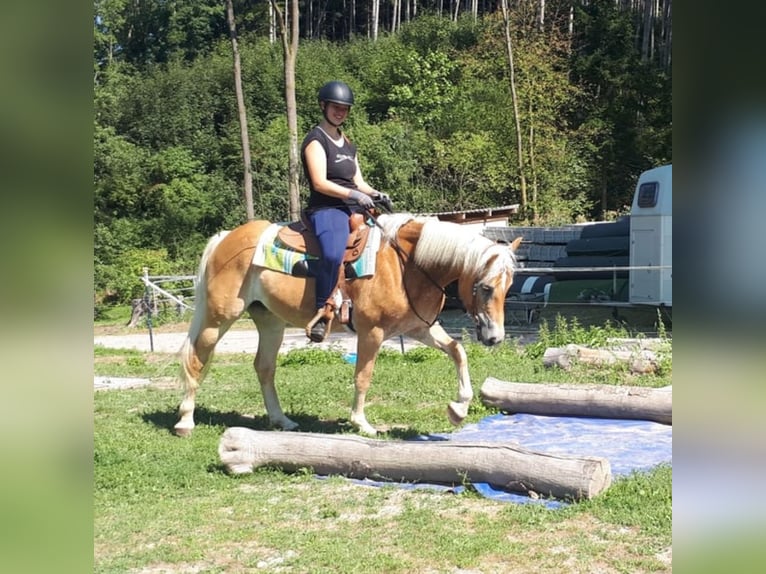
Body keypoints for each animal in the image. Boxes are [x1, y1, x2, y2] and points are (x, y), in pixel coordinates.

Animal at [176, 214, 520, 438]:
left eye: (508, 286)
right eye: (486, 287)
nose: (495, 337)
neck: (406, 265)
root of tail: (226, 237)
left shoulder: (418, 328)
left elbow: (458, 351)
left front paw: (458, 409)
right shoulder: (372, 333)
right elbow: (363, 376)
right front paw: (361, 423)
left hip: (270, 321)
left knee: (264, 367)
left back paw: (281, 420)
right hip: (219, 317)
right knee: (196, 361)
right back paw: (185, 422)